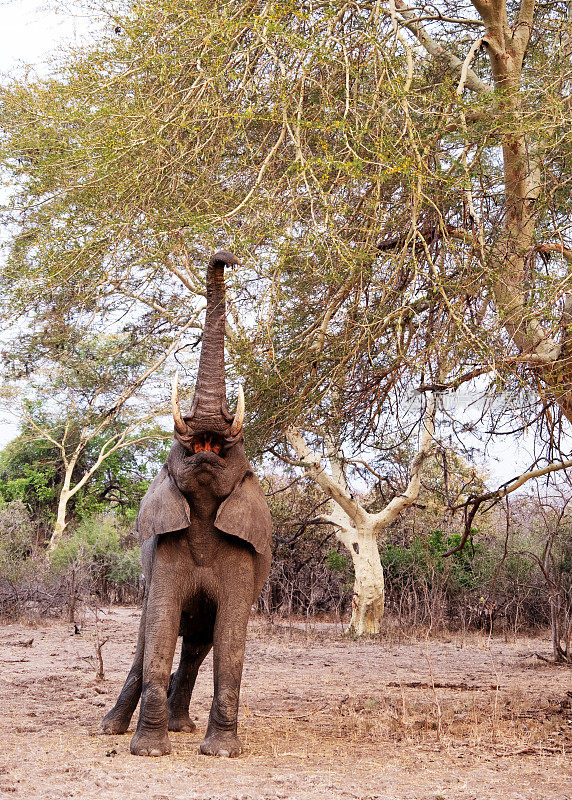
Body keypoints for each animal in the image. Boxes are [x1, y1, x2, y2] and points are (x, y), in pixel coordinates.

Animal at [101, 250, 272, 756]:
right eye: (181, 447)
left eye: (234, 448)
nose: (226, 256)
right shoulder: (165, 550)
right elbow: (158, 633)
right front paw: (149, 751)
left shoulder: (243, 558)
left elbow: (230, 642)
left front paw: (221, 753)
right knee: (144, 644)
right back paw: (112, 728)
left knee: (198, 646)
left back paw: (182, 726)